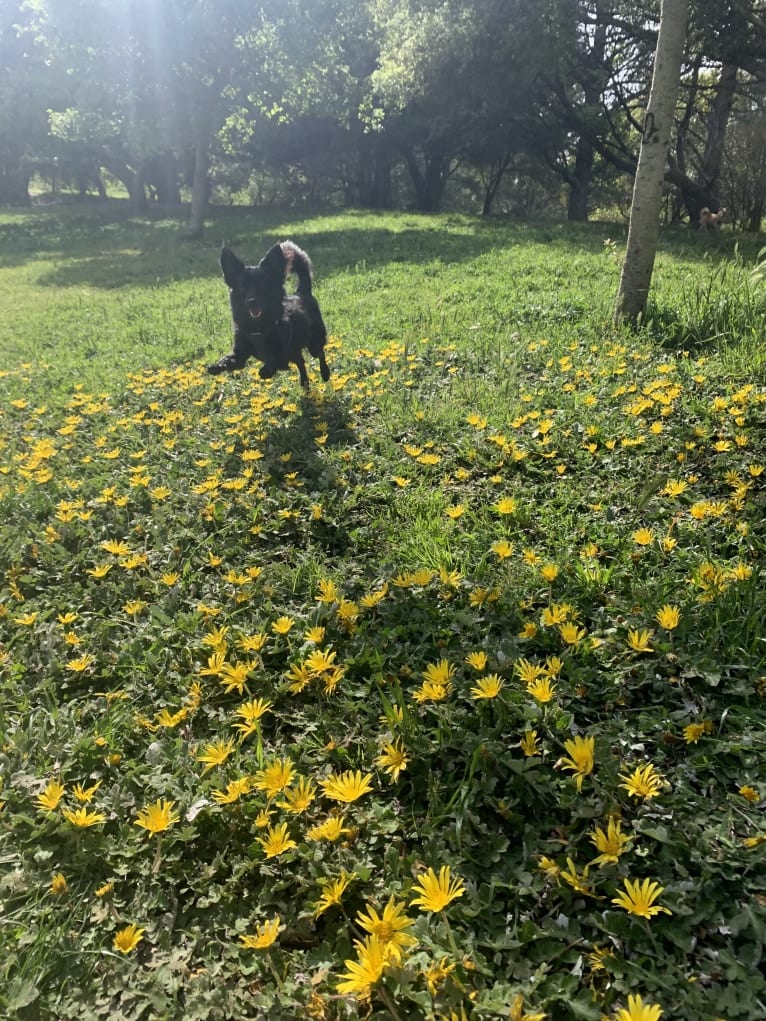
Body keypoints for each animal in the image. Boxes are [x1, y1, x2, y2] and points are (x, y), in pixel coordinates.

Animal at [207, 240, 330, 387]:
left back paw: (325, 373)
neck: (258, 329)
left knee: (320, 353)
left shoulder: (283, 354)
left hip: (314, 343)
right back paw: (304, 382)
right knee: (301, 362)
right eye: (243, 287)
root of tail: (301, 292)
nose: (252, 301)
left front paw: (266, 370)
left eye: (263, 285)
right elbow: (229, 359)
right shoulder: (239, 355)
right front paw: (217, 366)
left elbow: (275, 358)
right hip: (297, 352)